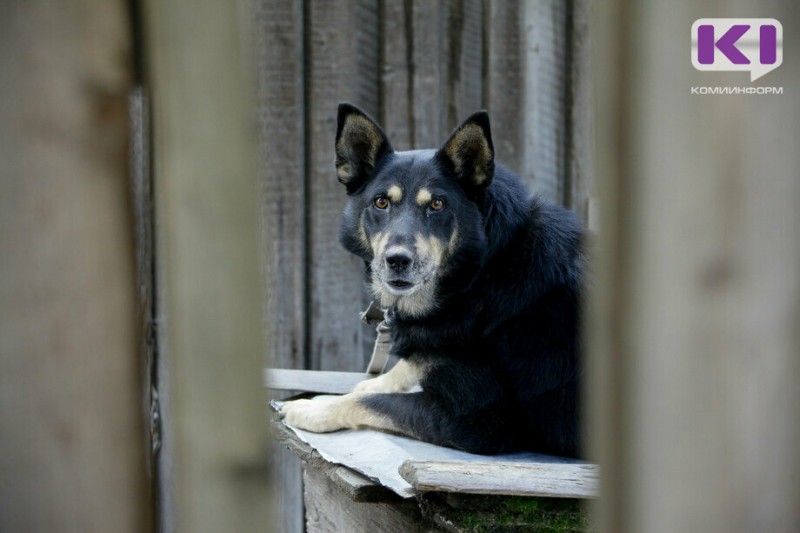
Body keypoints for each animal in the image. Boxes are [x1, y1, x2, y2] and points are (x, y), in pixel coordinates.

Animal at [278, 104, 584, 458]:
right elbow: (400, 371)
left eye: (437, 204)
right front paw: (374, 381)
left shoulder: (480, 420)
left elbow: (374, 402)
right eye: (381, 202)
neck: (480, 274)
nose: (397, 260)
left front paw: (315, 408)